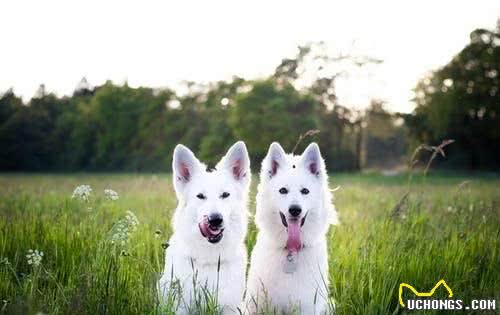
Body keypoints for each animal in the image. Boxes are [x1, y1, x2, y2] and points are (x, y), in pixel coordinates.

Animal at [159, 142, 252, 314]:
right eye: (200, 196)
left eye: (225, 194)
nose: (215, 220)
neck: (210, 258)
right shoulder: (181, 307)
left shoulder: (230, 307)